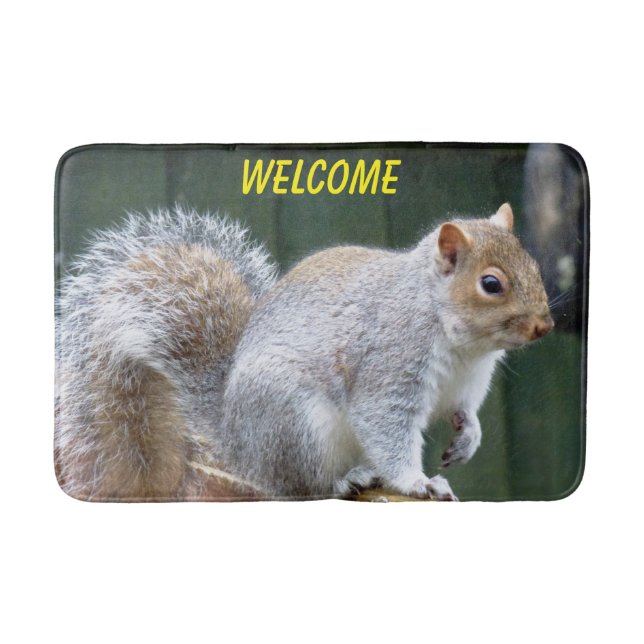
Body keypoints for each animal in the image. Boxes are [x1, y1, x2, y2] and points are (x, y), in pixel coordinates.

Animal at [55, 204, 553, 502]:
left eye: (533, 262)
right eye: (491, 284)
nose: (544, 326)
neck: (463, 345)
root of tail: (237, 445)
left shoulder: (467, 383)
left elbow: (465, 411)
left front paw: (468, 438)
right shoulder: (389, 367)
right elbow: (387, 429)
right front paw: (417, 482)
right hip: (295, 424)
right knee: (297, 488)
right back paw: (344, 480)